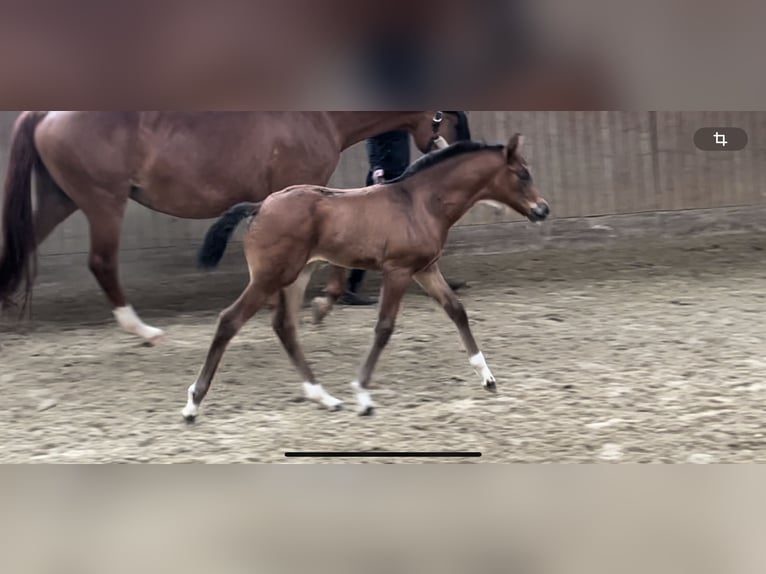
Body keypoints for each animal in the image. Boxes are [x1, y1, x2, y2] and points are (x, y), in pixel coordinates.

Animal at [0, 113, 468, 346]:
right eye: (454, 119)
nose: (460, 150)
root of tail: (45, 113)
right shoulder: (306, 188)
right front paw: (322, 304)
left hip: (62, 199)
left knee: (22, 246)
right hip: (103, 201)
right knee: (101, 263)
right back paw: (142, 329)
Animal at [183, 136, 548, 424]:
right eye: (522, 173)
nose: (543, 209)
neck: (419, 203)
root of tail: (260, 206)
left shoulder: (425, 269)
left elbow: (457, 310)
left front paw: (487, 377)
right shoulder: (398, 270)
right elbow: (384, 327)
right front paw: (363, 394)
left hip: (296, 276)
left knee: (284, 326)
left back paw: (324, 397)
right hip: (270, 276)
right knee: (230, 320)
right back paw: (193, 404)